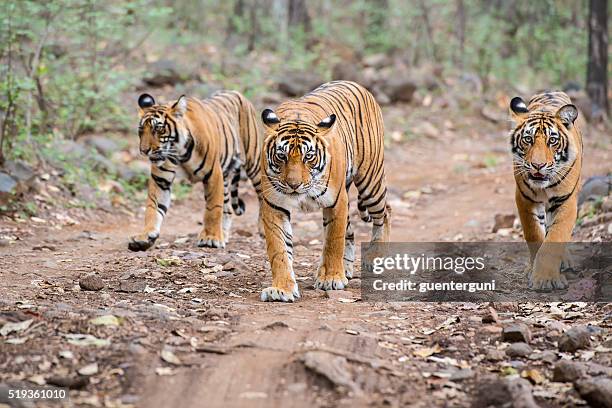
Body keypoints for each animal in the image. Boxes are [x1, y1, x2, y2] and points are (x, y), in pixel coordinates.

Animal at [128, 91, 262, 252]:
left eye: (158, 129)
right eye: (141, 130)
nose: (144, 151)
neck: (179, 152)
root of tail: (236, 93)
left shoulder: (213, 174)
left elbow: (213, 209)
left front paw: (211, 238)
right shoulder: (161, 180)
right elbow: (153, 207)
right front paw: (145, 236)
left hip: (254, 162)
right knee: (228, 208)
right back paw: (223, 234)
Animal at [258, 81, 392, 302]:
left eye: (309, 156)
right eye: (281, 156)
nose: (293, 185)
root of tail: (356, 84)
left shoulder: (336, 201)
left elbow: (333, 241)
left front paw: (330, 278)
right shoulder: (274, 205)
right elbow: (279, 250)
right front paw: (282, 288)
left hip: (370, 181)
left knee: (385, 212)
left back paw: (376, 257)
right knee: (351, 231)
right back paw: (346, 269)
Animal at [510, 91, 580, 290]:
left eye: (552, 141)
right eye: (528, 139)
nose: (538, 165)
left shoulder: (566, 202)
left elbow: (555, 237)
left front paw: (545, 278)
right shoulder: (524, 199)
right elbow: (534, 234)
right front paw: (536, 274)